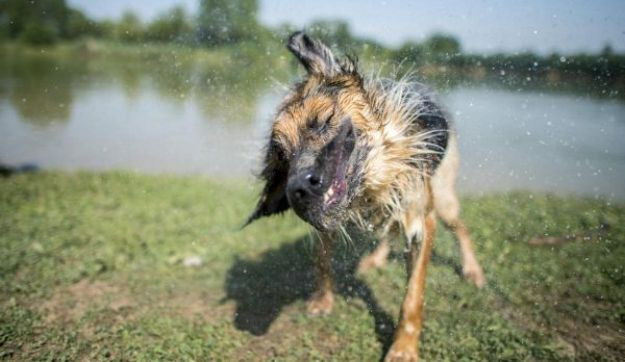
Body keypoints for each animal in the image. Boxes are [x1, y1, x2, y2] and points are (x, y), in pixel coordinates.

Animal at [246, 32, 486, 360]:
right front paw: (323, 300)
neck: (371, 185)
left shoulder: (421, 218)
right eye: (282, 153)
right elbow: (322, 261)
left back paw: (473, 270)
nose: (297, 192)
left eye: (322, 122)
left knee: (460, 228)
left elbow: (413, 296)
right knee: (391, 229)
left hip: (444, 199)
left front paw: (403, 348)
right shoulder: (330, 221)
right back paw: (375, 259)